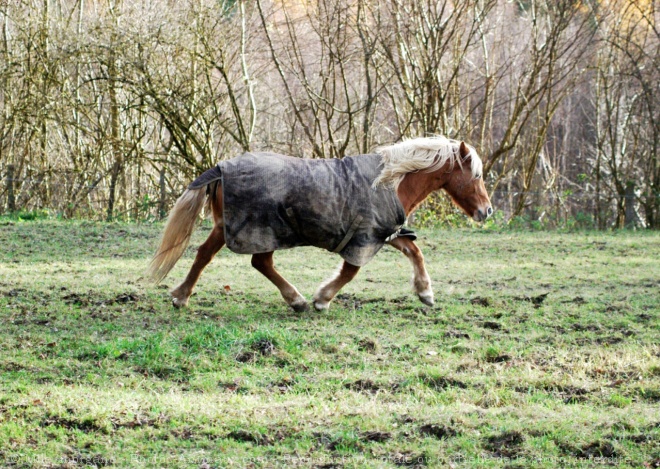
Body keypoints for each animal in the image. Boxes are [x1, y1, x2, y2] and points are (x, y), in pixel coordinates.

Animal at [147, 136, 492, 310]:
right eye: (475, 175)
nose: (487, 211)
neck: (389, 182)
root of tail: (220, 168)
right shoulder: (363, 237)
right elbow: (350, 272)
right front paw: (322, 299)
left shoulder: (384, 232)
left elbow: (414, 251)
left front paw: (425, 293)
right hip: (253, 229)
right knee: (236, 259)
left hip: (243, 229)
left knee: (239, 260)